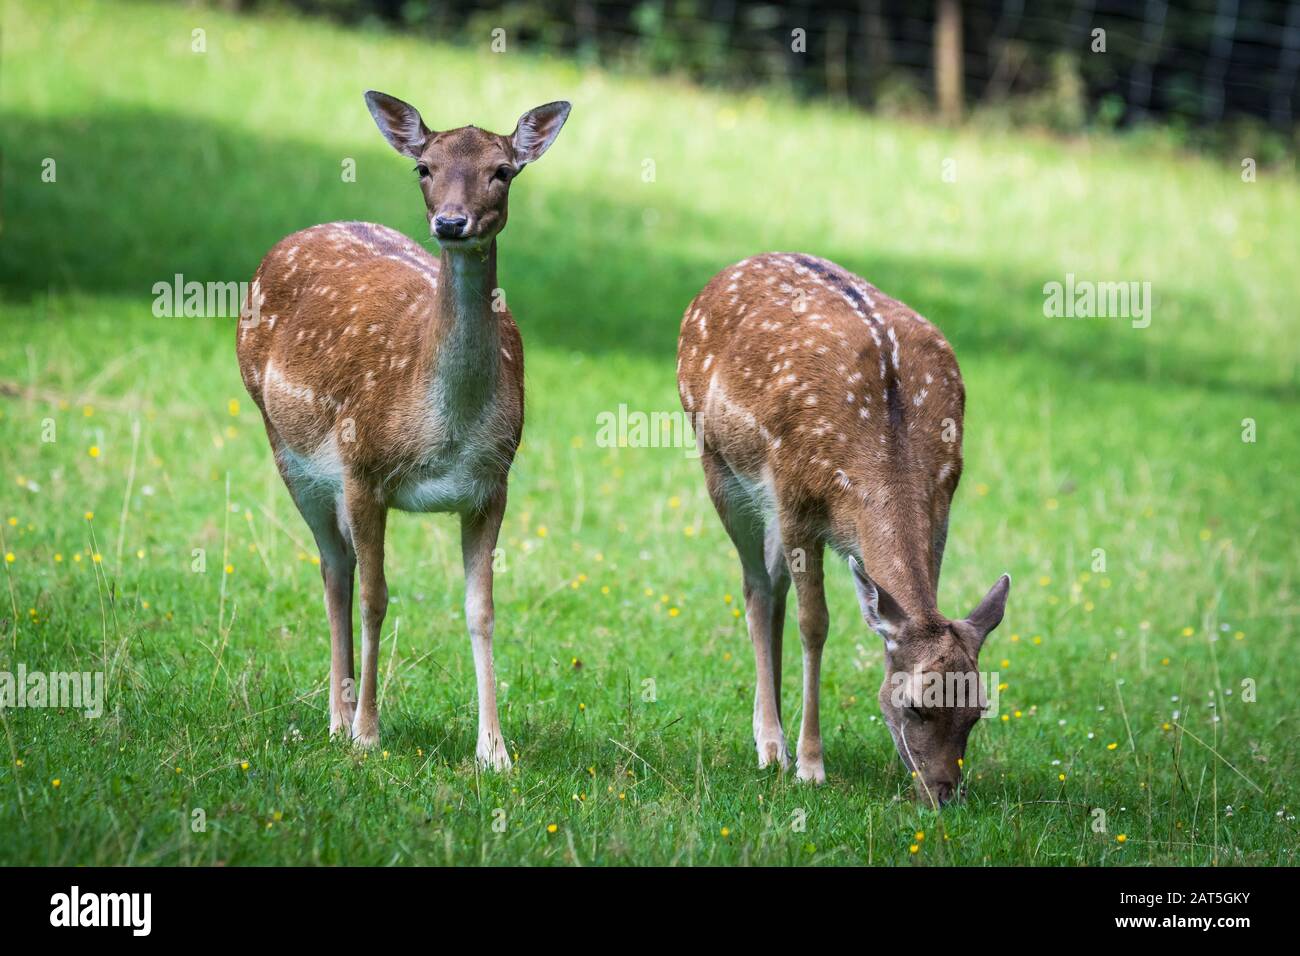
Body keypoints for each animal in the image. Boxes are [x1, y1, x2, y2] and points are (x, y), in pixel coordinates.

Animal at [235, 91, 571, 769]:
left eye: (502, 170)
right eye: (424, 167)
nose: (451, 222)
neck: (444, 430)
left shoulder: (491, 485)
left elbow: (481, 609)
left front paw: (494, 751)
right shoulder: (364, 467)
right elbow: (376, 596)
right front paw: (368, 732)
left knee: (338, 563)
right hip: (289, 449)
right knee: (334, 568)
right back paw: (338, 718)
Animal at [677, 252, 1010, 806]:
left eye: (977, 711)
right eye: (917, 706)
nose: (943, 793)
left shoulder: (942, 504)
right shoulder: (796, 501)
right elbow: (815, 624)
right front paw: (811, 765)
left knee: (773, 584)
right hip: (719, 465)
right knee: (755, 588)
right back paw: (771, 745)